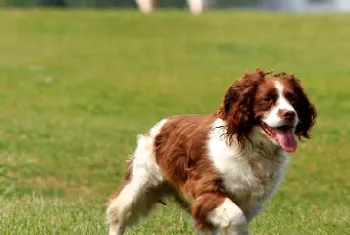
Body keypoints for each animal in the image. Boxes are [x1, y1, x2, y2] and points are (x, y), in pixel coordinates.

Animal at [105, 68, 316, 235]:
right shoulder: (206, 190)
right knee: (117, 214)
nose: (290, 114)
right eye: (267, 99)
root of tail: (163, 123)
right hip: (139, 185)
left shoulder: (248, 201)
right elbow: (236, 218)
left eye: (293, 98)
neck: (251, 148)